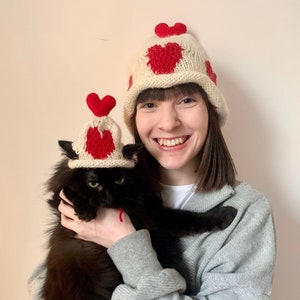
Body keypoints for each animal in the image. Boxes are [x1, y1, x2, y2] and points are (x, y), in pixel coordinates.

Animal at [41, 141, 237, 300]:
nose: (108, 198)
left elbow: (192, 217)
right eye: (93, 183)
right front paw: (85, 210)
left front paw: (227, 214)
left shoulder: (153, 215)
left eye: (119, 180)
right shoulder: (59, 203)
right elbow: (67, 191)